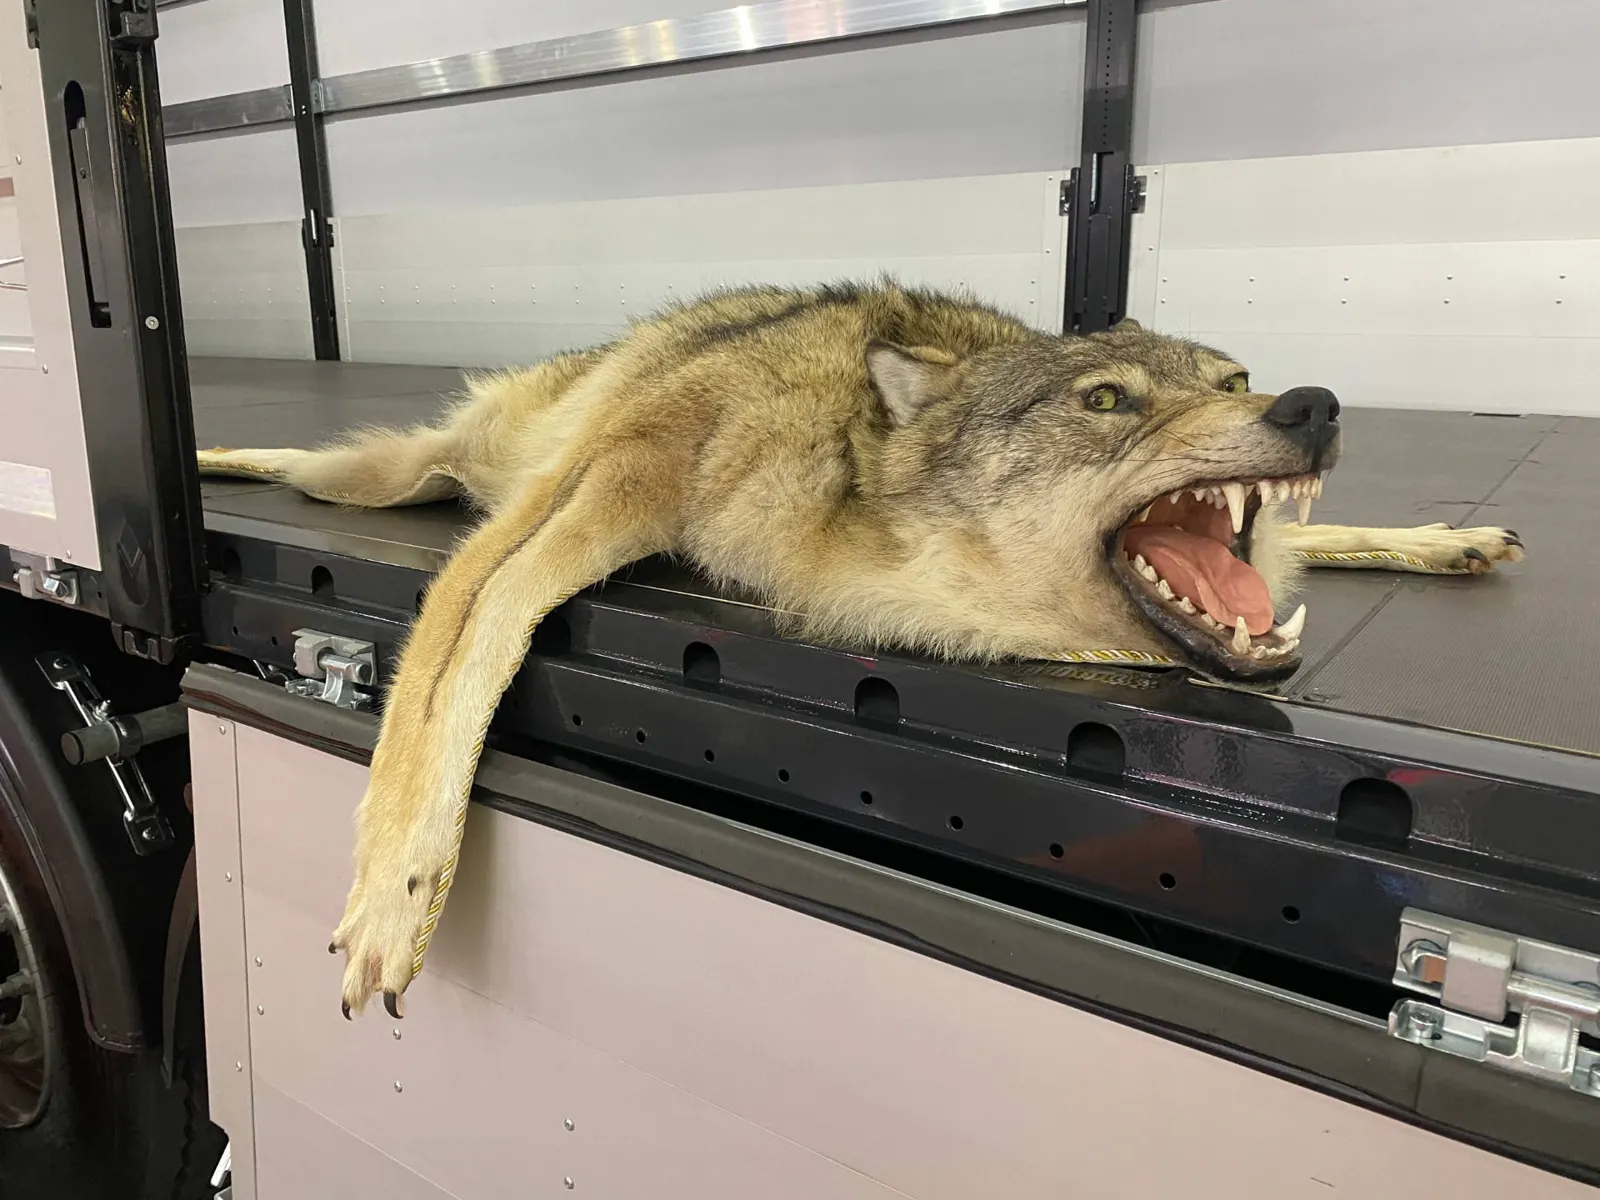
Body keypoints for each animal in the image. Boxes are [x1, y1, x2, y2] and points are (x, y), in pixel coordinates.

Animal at [195, 279, 1524, 1017]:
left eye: (1235, 377)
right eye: (1106, 401)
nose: (1311, 404)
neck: (843, 462)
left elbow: (1322, 538)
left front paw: (1443, 539)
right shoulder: (584, 501)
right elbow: (455, 661)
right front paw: (393, 898)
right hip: (404, 480)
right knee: (318, 463)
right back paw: (208, 453)